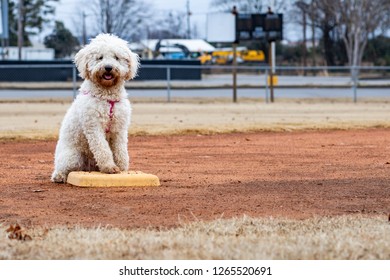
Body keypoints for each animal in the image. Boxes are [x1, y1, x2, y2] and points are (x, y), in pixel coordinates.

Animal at [51, 33, 139, 184]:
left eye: (116, 57)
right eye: (100, 57)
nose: (108, 67)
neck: (107, 96)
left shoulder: (119, 128)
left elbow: (121, 149)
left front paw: (122, 167)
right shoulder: (93, 126)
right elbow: (102, 148)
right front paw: (109, 167)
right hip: (73, 157)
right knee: (61, 169)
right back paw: (59, 176)